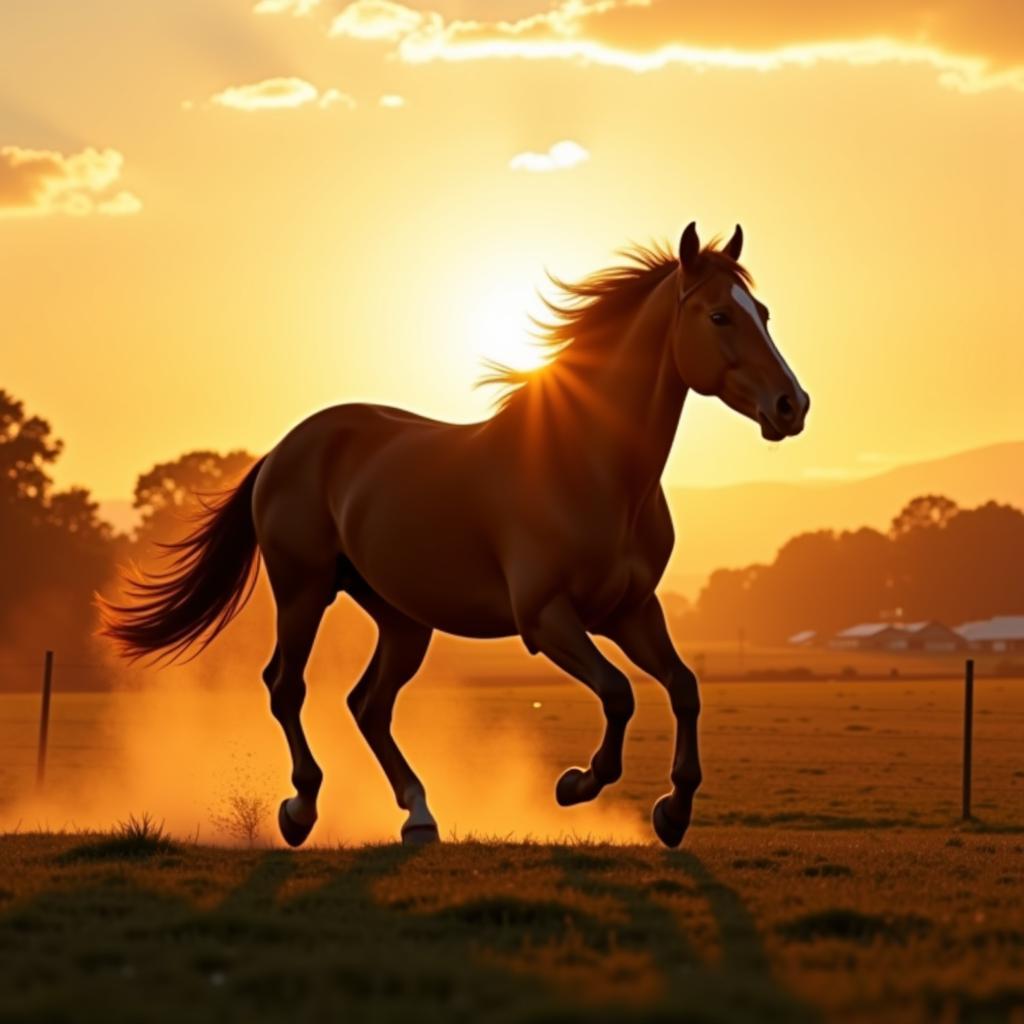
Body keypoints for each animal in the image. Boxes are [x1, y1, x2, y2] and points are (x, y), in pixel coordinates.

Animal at [101, 222, 806, 847]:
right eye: (720, 316)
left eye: (766, 314)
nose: (792, 406)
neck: (590, 465)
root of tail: (283, 449)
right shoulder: (546, 617)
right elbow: (619, 693)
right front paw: (575, 785)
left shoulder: (630, 611)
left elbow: (683, 688)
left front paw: (673, 812)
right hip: (303, 590)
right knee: (287, 687)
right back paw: (301, 810)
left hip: (403, 619)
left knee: (368, 704)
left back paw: (418, 815)